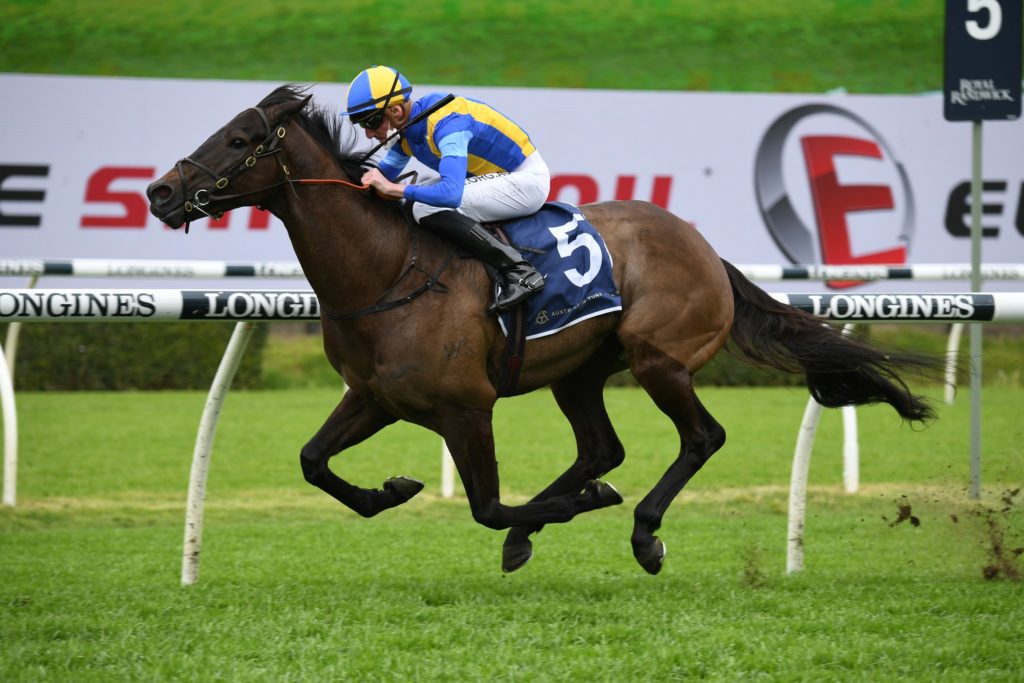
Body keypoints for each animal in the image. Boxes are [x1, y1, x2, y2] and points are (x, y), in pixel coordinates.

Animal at [147, 85, 941, 575]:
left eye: (240, 139)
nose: (159, 190)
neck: (388, 271)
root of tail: (702, 245)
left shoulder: (466, 408)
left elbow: (488, 505)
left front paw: (575, 509)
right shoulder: (375, 396)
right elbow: (314, 461)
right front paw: (391, 490)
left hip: (660, 360)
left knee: (699, 437)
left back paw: (642, 529)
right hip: (579, 371)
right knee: (600, 447)